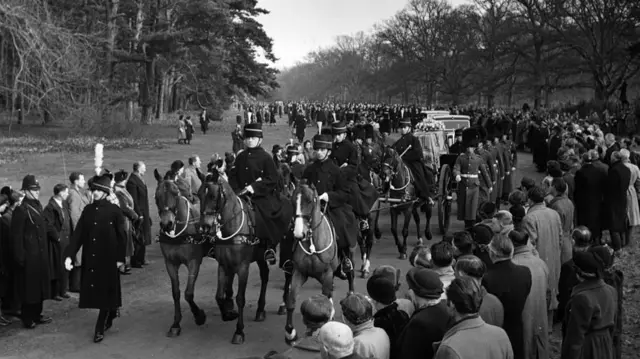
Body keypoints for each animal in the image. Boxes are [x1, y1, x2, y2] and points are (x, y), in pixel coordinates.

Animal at [152, 169, 208, 338]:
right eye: (156, 196)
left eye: (175, 193)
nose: (167, 224)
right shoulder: (170, 263)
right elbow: (175, 292)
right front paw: (176, 323)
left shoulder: (194, 262)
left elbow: (188, 293)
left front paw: (199, 315)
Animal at [199, 172, 272, 346]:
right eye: (198, 195)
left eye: (213, 196)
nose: (204, 227)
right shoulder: (223, 265)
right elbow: (219, 295)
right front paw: (228, 314)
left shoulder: (243, 268)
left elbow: (240, 298)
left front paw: (239, 331)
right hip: (259, 256)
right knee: (265, 275)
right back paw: (260, 310)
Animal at [284, 184, 356, 344]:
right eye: (292, 201)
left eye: (310, 201)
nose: (299, 234)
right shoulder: (299, 272)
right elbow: (291, 300)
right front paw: (290, 332)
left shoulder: (327, 273)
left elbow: (325, 299)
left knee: (350, 276)